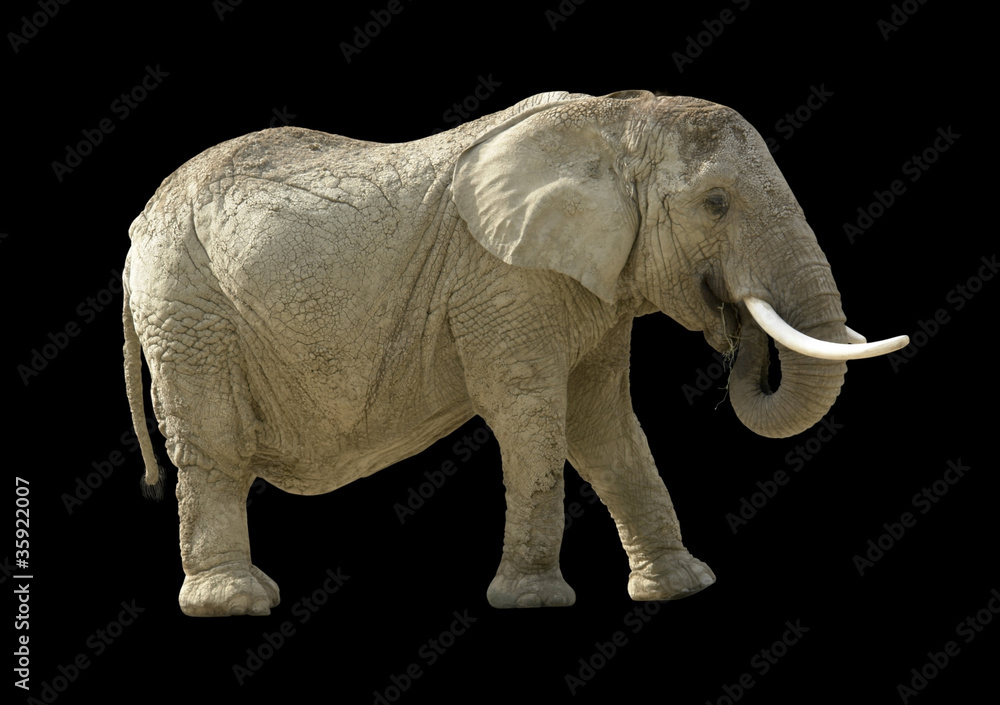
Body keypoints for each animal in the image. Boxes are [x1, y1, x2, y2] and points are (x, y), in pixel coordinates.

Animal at [122, 89, 907, 617]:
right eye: (716, 203)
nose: (732, 328)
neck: (612, 122)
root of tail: (138, 226)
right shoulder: (503, 281)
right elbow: (531, 418)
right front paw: (533, 600)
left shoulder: (591, 284)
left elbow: (605, 425)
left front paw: (681, 588)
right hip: (185, 304)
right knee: (212, 442)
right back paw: (235, 601)